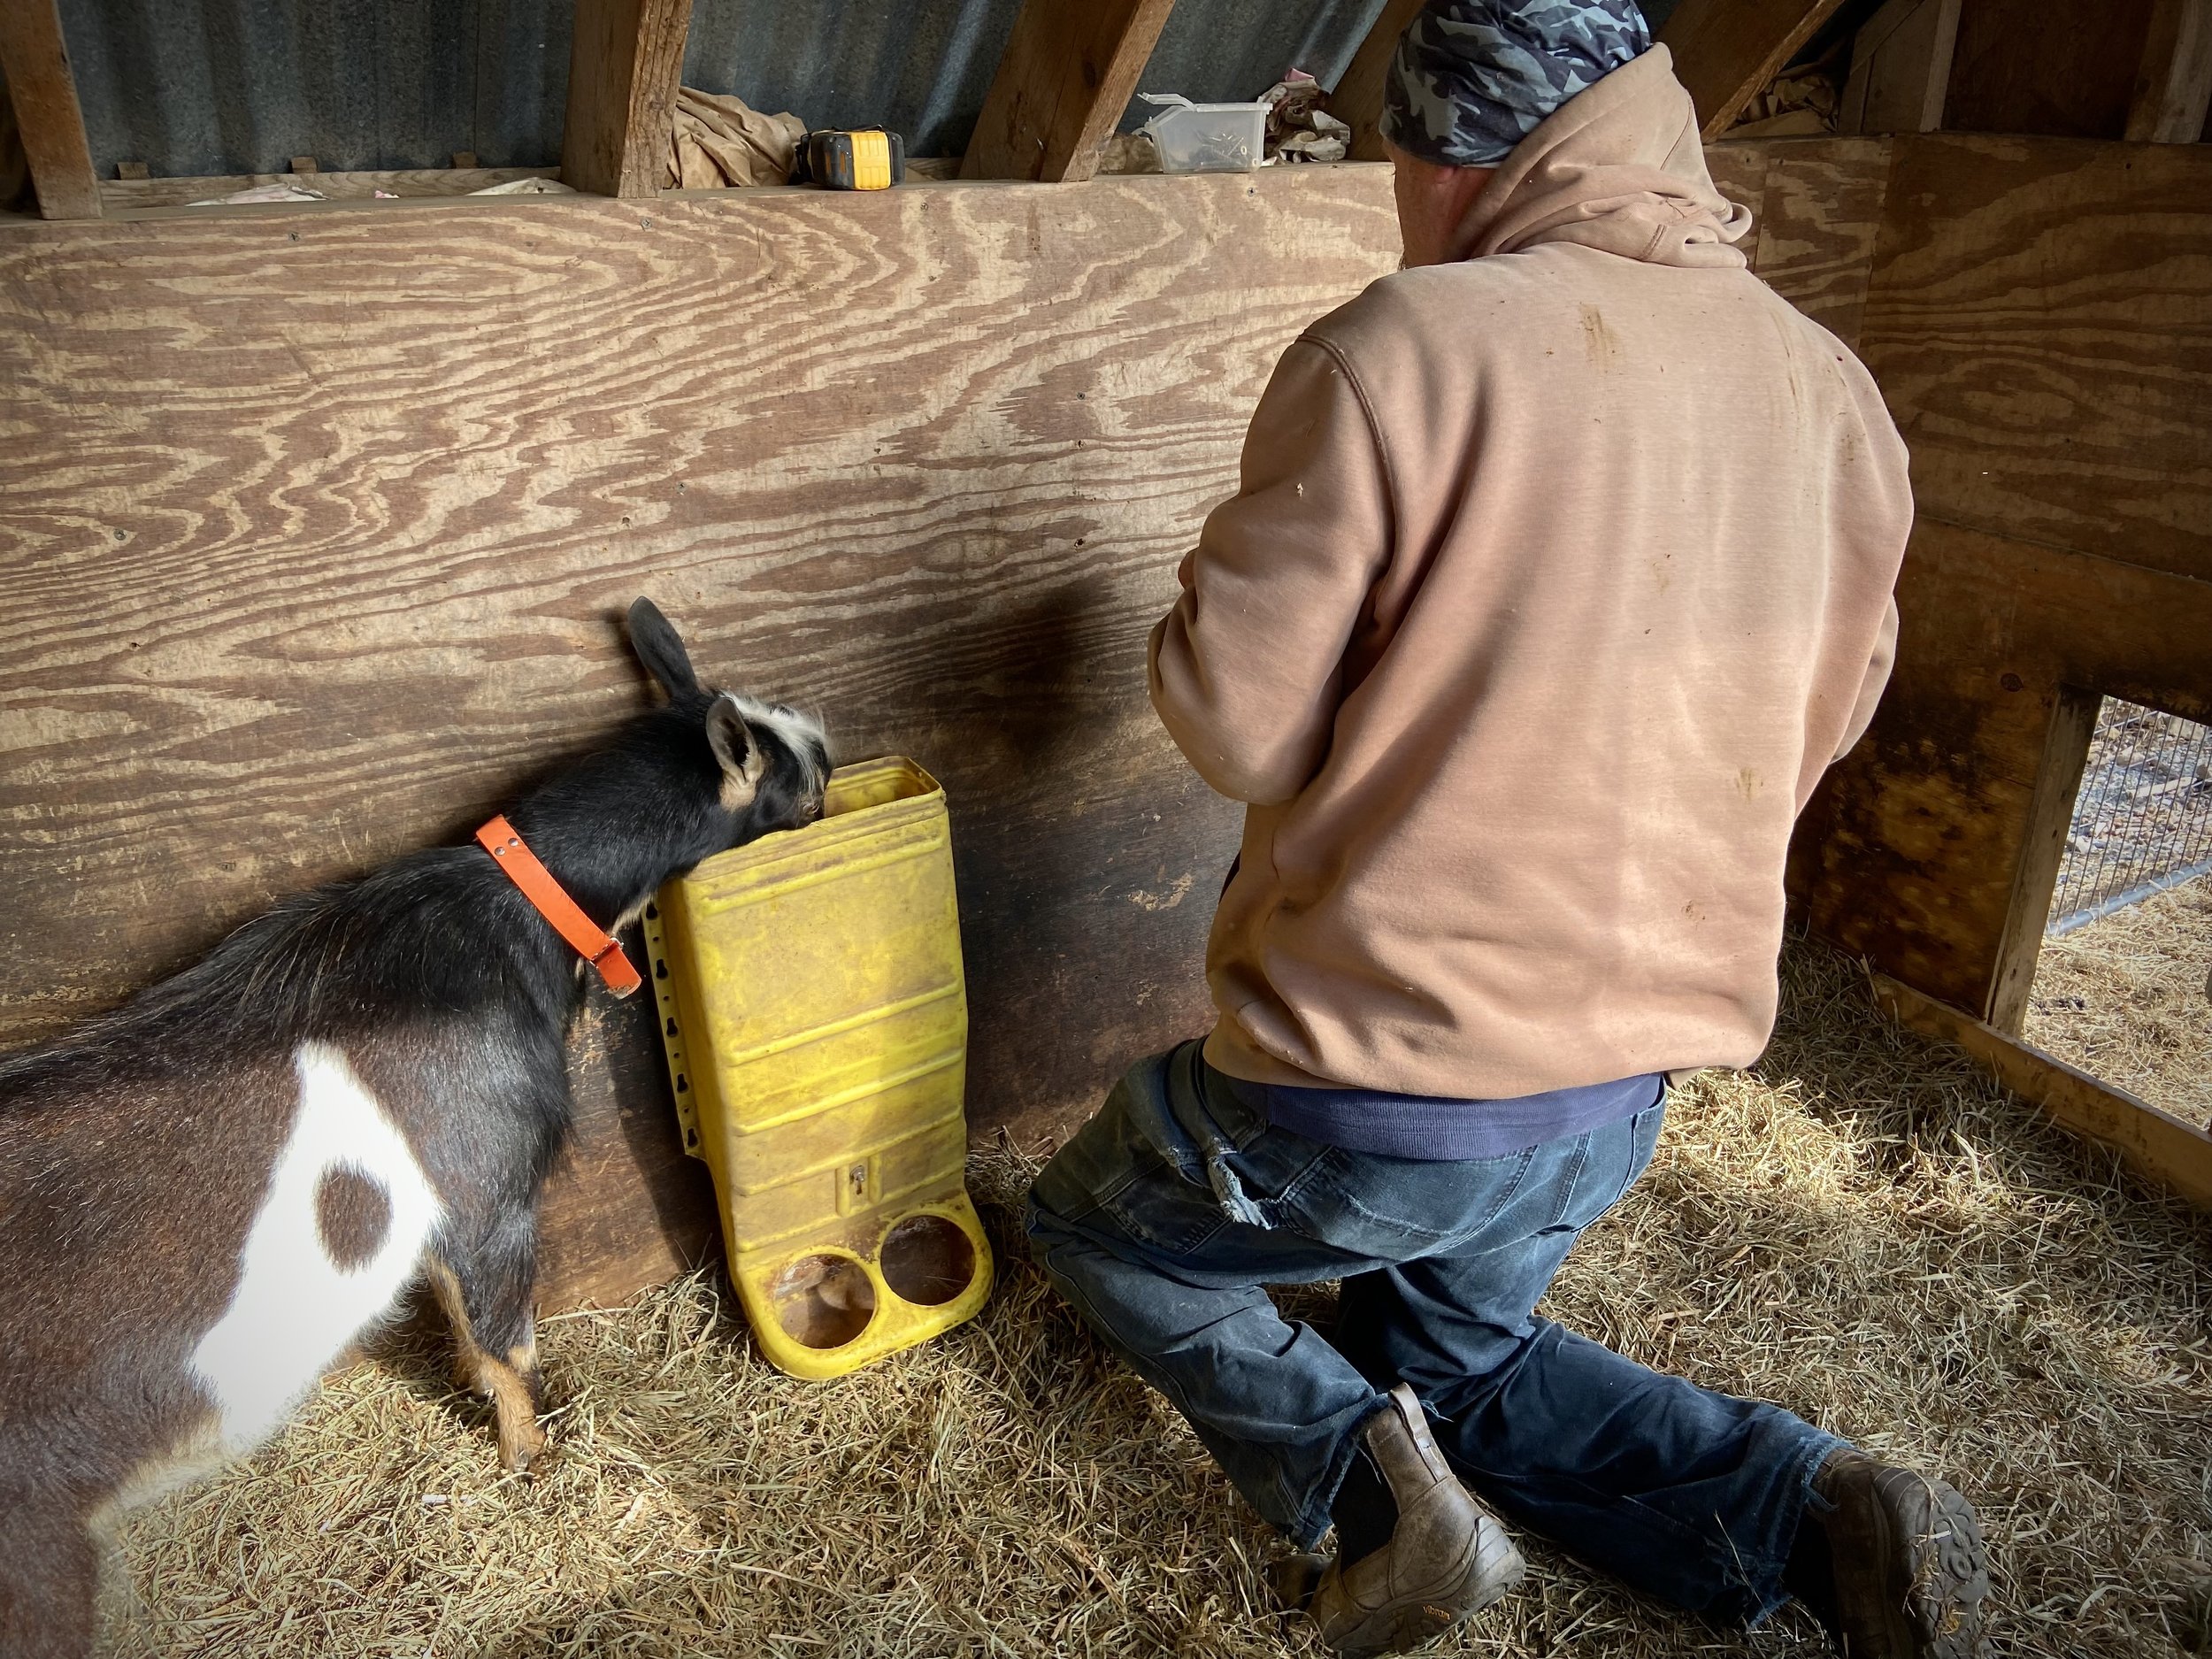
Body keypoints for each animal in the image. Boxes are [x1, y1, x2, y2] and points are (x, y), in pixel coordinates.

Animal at [0, 602, 827, 1659]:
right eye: (800, 777)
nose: (834, 744)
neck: (523, 905)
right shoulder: (487, 1175)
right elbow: (508, 1339)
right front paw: (536, 1459)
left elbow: (461, 1323)